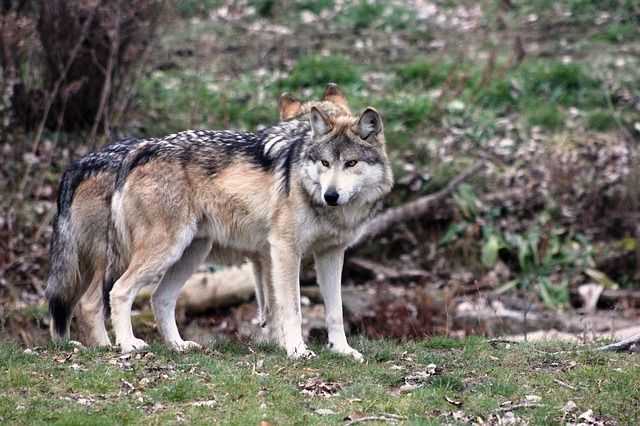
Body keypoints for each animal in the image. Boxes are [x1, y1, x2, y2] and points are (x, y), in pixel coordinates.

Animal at [45, 83, 356, 346]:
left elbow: (269, 305)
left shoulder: (263, 256)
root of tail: (79, 164)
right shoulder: (277, 252)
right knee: (92, 302)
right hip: (127, 256)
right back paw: (114, 346)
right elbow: (280, 305)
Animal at [105, 94, 392, 360]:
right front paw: (297, 350)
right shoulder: (285, 249)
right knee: (119, 291)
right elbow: (292, 308)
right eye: (325, 163)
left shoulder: (331, 253)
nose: (330, 195)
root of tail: (143, 149)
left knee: (160, 298)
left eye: (351, 163)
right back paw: (128, 344)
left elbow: (335, 311)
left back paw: (178, 346)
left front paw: (342, 350)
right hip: (167, 251)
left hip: (191, 254)